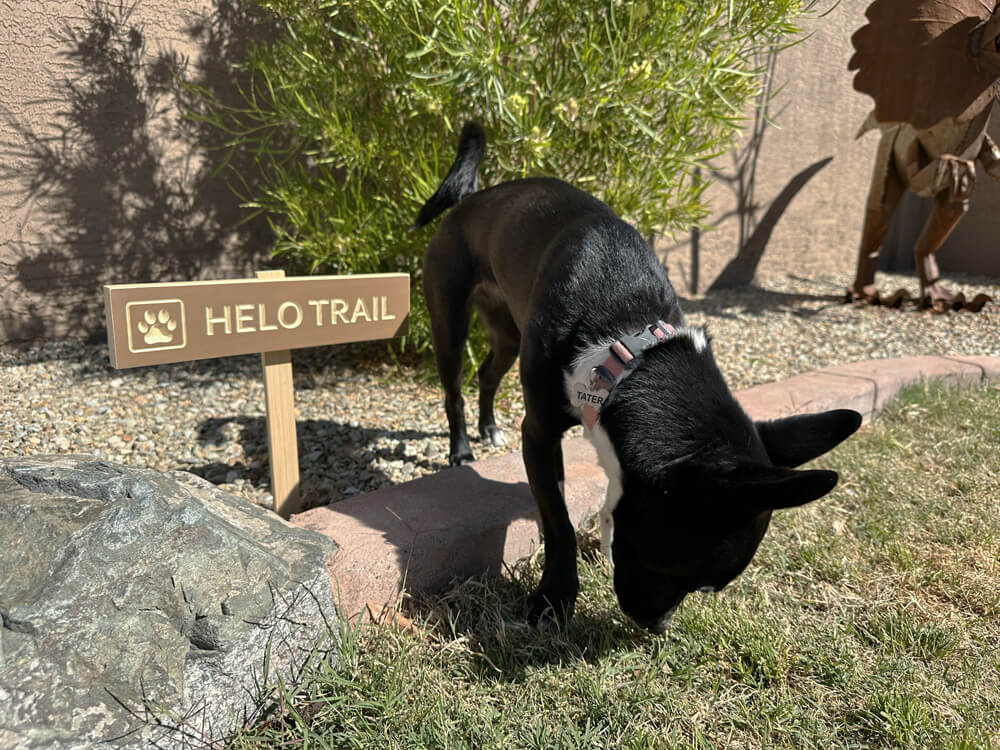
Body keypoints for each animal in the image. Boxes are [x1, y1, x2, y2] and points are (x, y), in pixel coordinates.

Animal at [414, 125, 860, 636]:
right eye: (669, 569)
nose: (658, 626)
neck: (627, 345)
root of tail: (470, 197)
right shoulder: (540, 433)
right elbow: (559, 519)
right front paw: (554, 596)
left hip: (507, 334)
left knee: (487, 374)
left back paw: (489, 428)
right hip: (448, 320)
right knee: (454, 390)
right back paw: (461, 449)